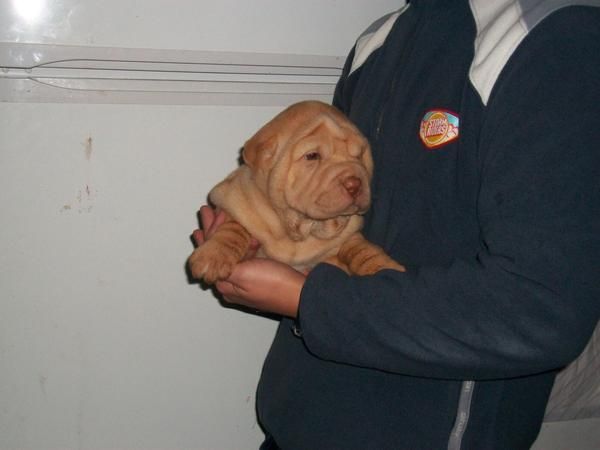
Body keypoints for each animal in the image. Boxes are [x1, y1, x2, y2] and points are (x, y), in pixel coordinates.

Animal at [188, 100, 404, 284]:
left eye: (358, 155)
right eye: (312, 156)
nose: (354, 184)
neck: (304, 228)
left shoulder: (348, 235)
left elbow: (360, 248)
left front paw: (384, 267)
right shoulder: (233, 200)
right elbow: (233, 228)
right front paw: (213, 256)